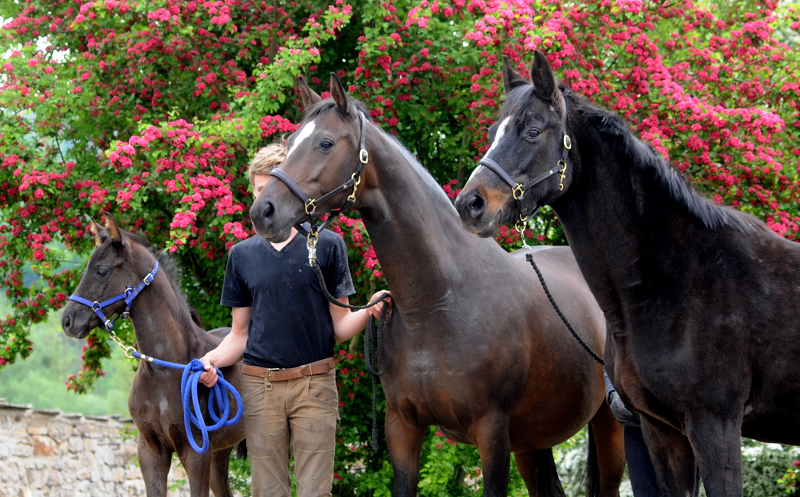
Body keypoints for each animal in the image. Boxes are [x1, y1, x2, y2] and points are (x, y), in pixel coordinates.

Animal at [60, 216, 244, 496]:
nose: (68, 320)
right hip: (220, 453)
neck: (164, 369)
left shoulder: (195, 451)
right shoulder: (150, 450)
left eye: (101, 270)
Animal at [248, 73, 624, 496]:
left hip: (610, 426)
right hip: (533, 440)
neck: (436, 303)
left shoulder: (492, 434)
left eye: (325, 143)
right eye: (290, 142)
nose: (263, 212)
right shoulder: (402, 429)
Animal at [454, 51, 800, 496]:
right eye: (492, 132)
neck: (676, 279)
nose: (470, 204)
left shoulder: (715, 426)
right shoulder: (662, 431)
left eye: (532, 130)